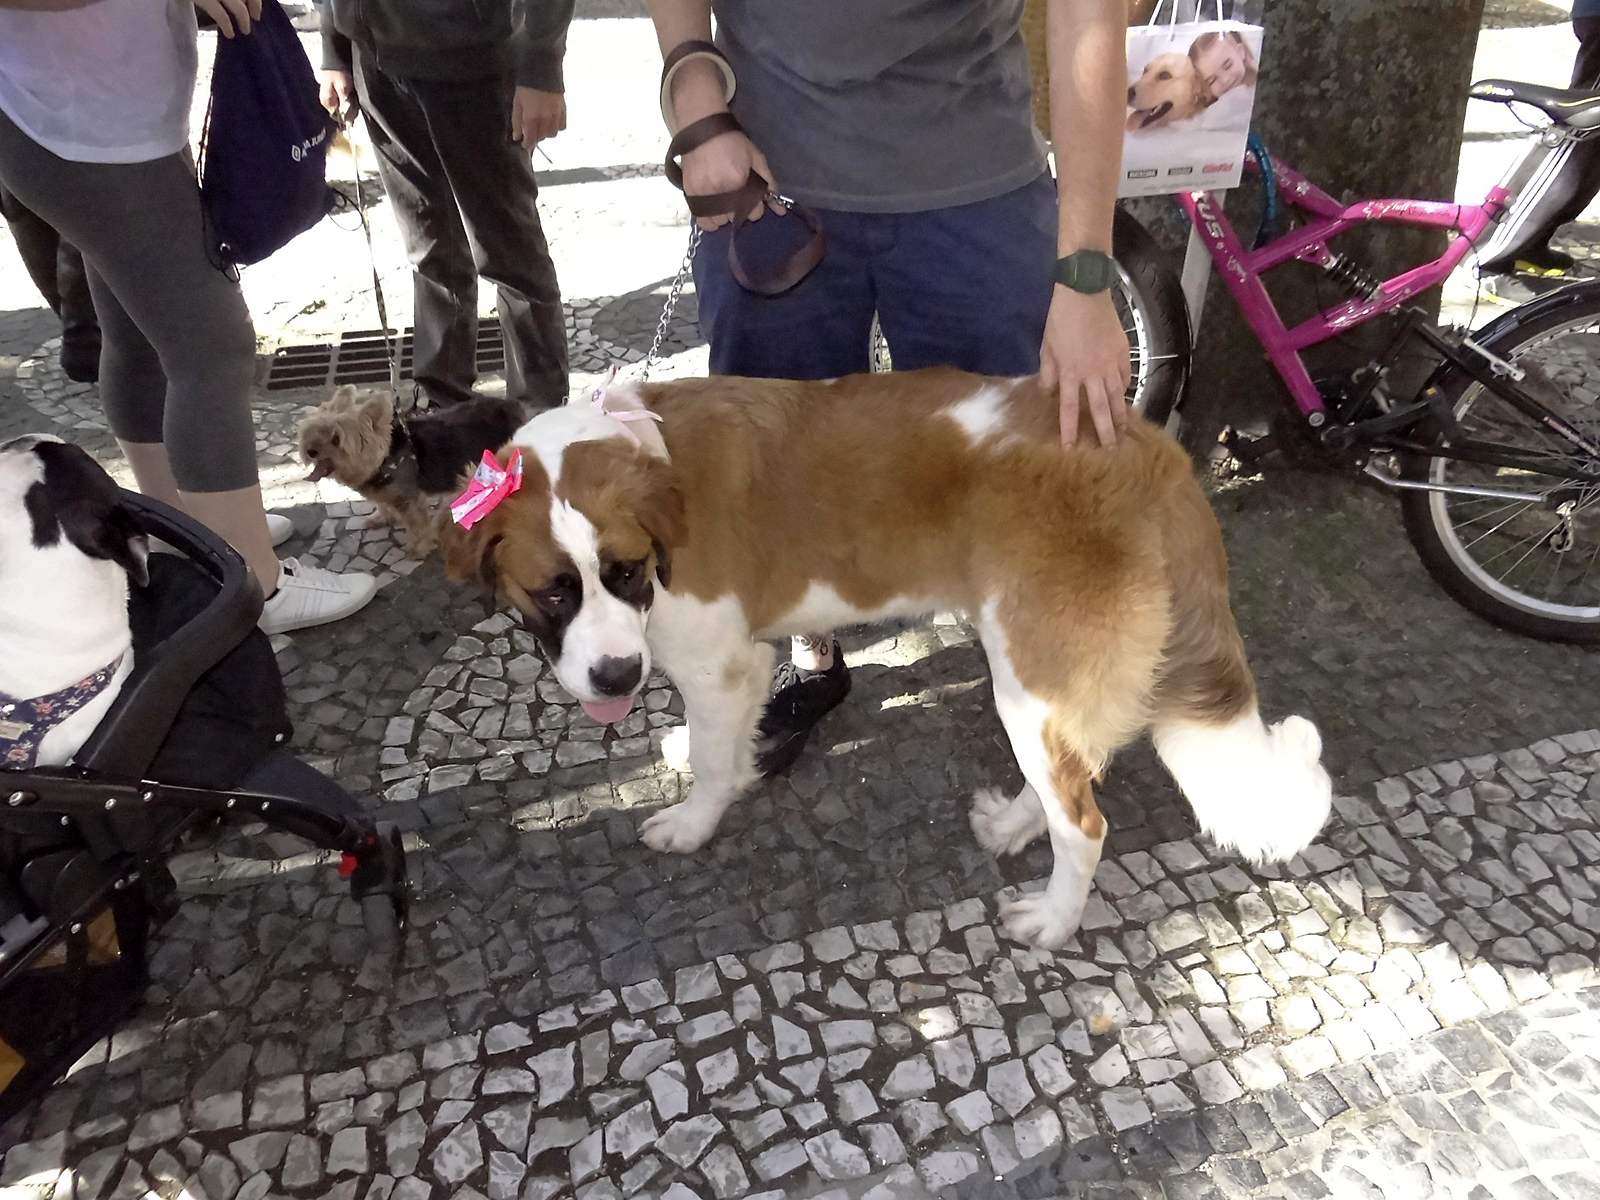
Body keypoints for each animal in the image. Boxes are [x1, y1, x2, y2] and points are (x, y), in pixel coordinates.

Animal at [297, 386, 523, 556]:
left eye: (336, 439)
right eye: (313, 431)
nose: (310, 451)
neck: (386, 456)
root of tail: (514, 406)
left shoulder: (409, 501)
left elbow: (417, 525)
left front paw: (417, 548)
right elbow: (384, 505)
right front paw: (380, 518)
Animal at [441, 369, 1333, 948]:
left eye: (622, 572)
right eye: (553, 593)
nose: (617, 679)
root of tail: (1155, 456)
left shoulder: (719, 661)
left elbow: (714, 763)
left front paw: (693, 822)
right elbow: (721, 739)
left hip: (1033, 669)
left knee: (1084, 823)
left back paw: (1052, 919)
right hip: (1043, 679)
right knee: (1079, 766)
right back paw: (1016, 823)